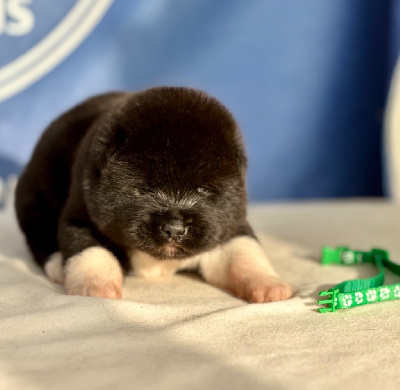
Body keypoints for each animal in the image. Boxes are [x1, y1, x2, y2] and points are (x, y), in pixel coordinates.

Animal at [15, 87, 292, 304]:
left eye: (203, 190)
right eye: (145, 188)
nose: (175, 229)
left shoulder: (228, 225)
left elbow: (244, 251)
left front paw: (268, 285)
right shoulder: (82, 217)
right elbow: (92, 252)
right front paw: (94, 287)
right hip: (34, 198)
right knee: (39, 234)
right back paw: (57, 266)